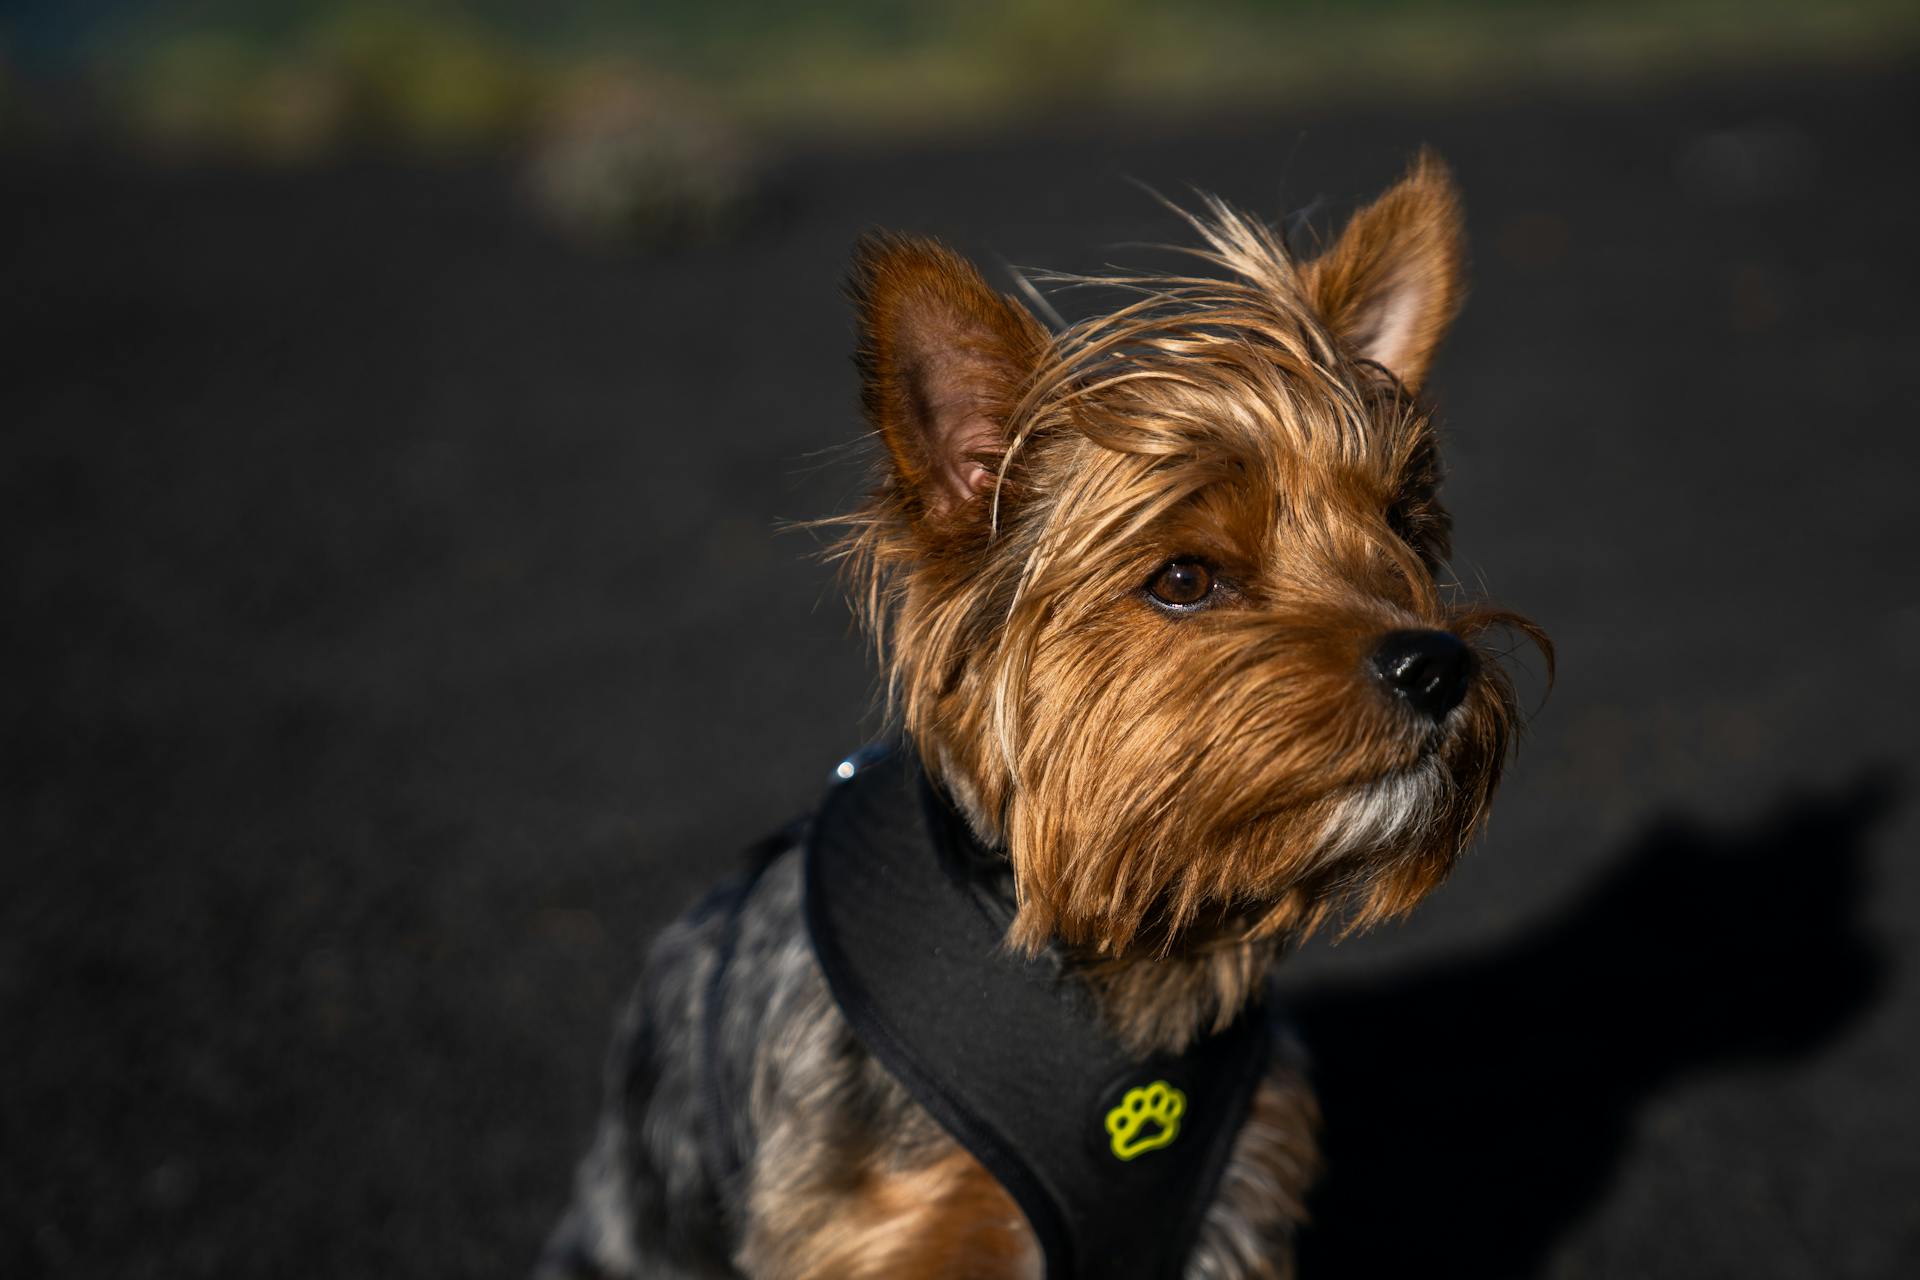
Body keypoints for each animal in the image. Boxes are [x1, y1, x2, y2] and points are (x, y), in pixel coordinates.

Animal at [537, 152, 1543, 1280]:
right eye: (1184, 578)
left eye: (1401, 529)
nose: (1437, 666)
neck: (1134, 948)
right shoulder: (887, 1227)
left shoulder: (1236, 1199)